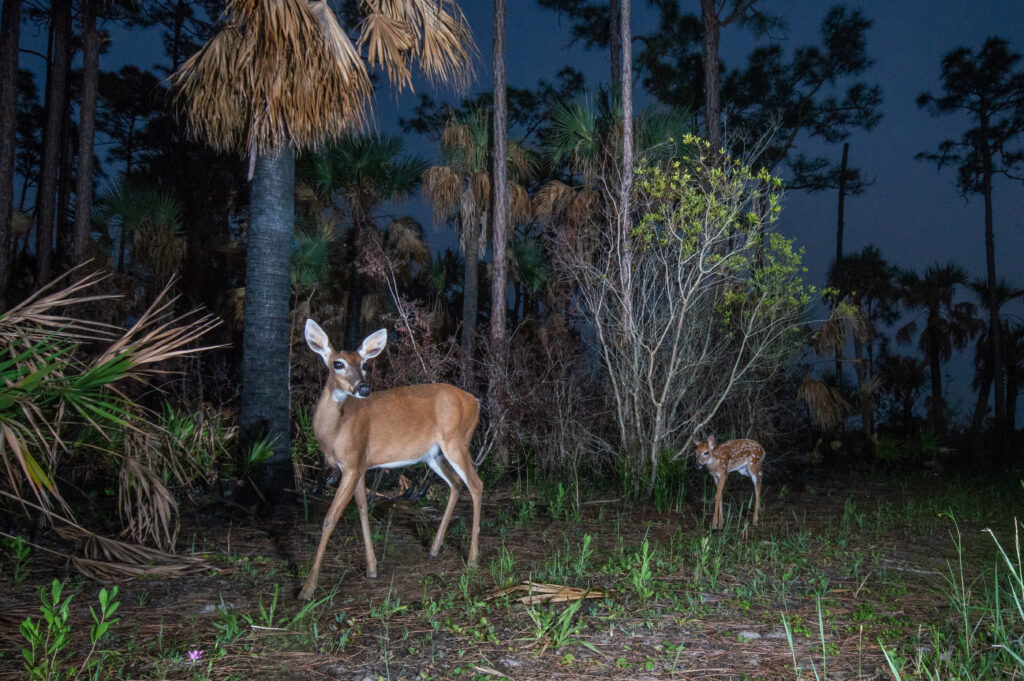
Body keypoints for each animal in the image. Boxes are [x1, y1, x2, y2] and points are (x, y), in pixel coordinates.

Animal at [299, 319, 483, 602]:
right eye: (338, 364)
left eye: (364, 364)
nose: (363, 388)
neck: (334, 431)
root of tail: (475, 401)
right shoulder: (360, 465)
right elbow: (362, 509)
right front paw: (372, 568)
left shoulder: (351, 464)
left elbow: (331, 518)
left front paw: (308, 589)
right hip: (433, 454)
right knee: (456, 484)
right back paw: (433, 549)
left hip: (457, 441)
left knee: (476, 484)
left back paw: (472, 559)